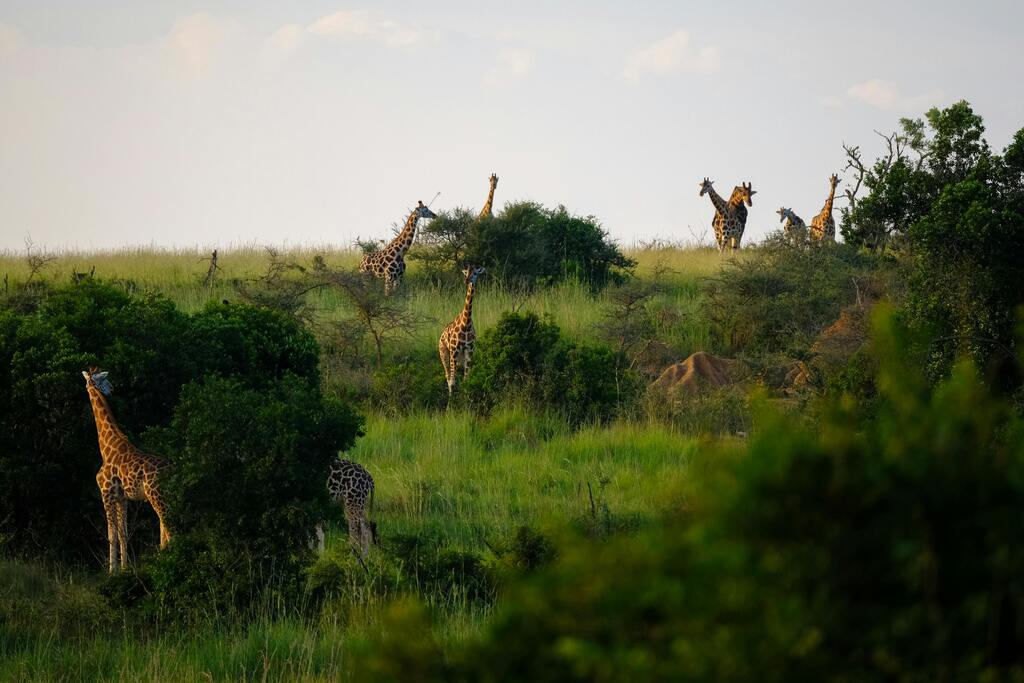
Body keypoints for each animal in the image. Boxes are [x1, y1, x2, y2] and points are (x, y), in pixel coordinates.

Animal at [82, 367, 171, 573]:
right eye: (105, 380)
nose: (112, 389)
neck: (106, 446)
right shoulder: (122, 497)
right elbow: (123, 533)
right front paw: (124, 569)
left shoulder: (106, 492)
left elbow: (111, 534)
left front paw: (112, 571)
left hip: (156, 495)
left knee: (169, 526)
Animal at [439, 266, 485, 396]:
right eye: (466, 273)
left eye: (475, 273)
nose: (467, 280)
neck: (466, 323)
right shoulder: (454, 350)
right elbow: (452, 381)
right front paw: (452, 401)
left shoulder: (469, 350)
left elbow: (466, 378)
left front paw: (466, 398)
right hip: (444, 353)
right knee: (448, 376)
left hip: (460, 356)